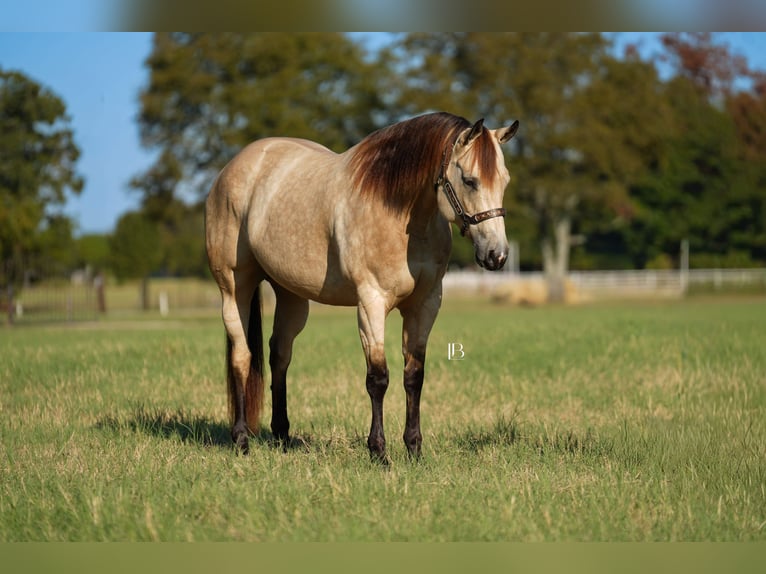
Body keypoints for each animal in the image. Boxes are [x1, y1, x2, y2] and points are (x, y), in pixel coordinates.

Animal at [205, 112, 519, 462]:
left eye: (504, 181)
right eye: (470, 180)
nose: (497, 255)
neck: (400, 213)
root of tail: (232, 169)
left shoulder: (425, 304)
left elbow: (414, 376)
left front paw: (414, 449)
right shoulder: (371, 303)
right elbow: (378, 378)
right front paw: (379, 451)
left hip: (291, 296)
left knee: (279, 356)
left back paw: (282, 435)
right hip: (234, 288)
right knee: (242, 357)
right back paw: (241, 440)